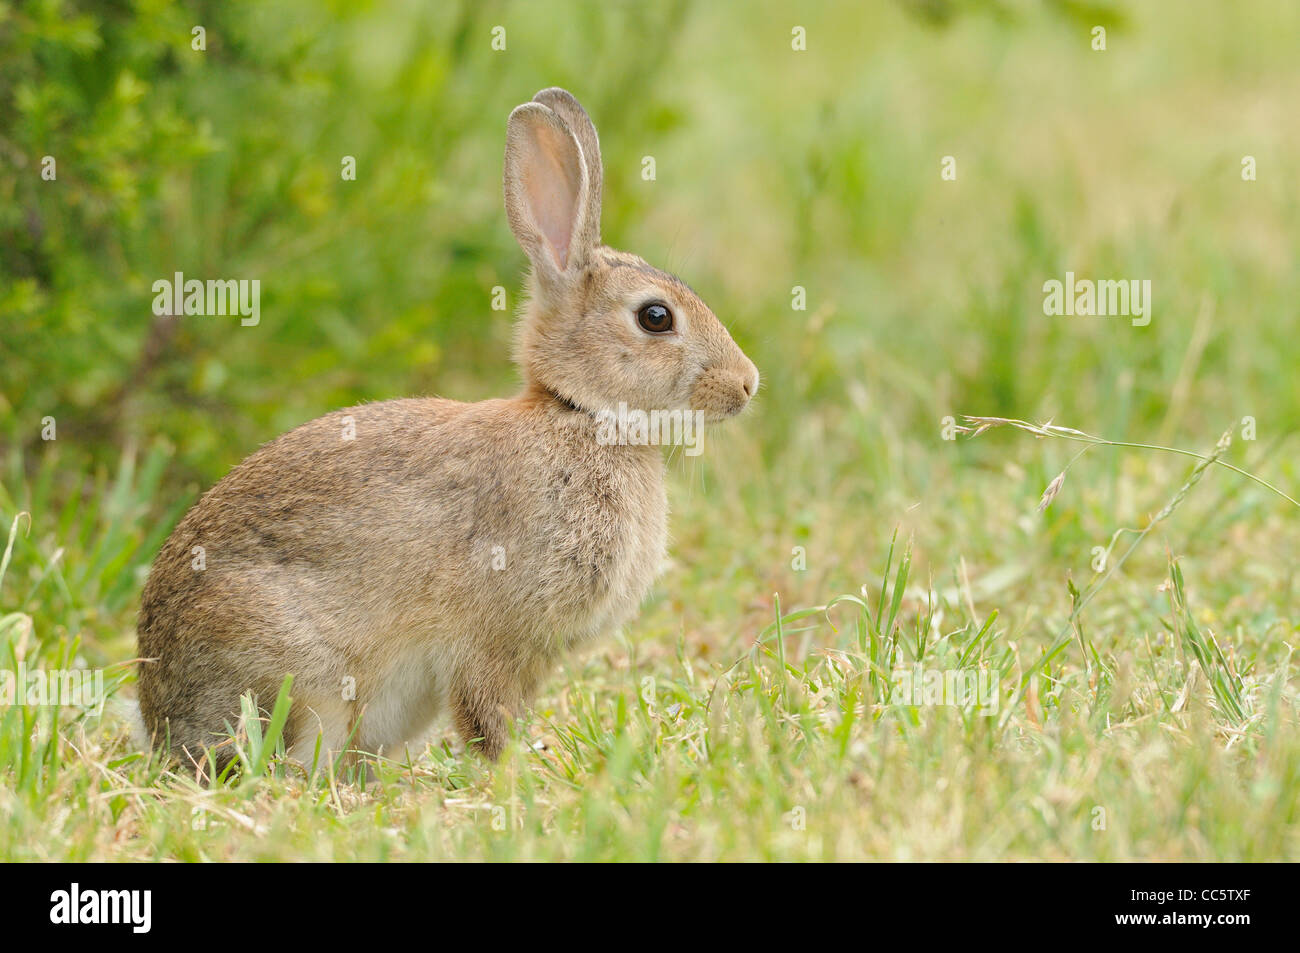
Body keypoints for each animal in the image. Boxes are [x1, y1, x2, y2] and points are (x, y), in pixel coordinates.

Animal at [137, 87, 759, 774]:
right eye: (655, 317)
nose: (747, 385)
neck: (579, 415)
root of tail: (158, 715)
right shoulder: (493, 635)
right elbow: (486, 713)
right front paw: (513, 771)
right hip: (301, 677)